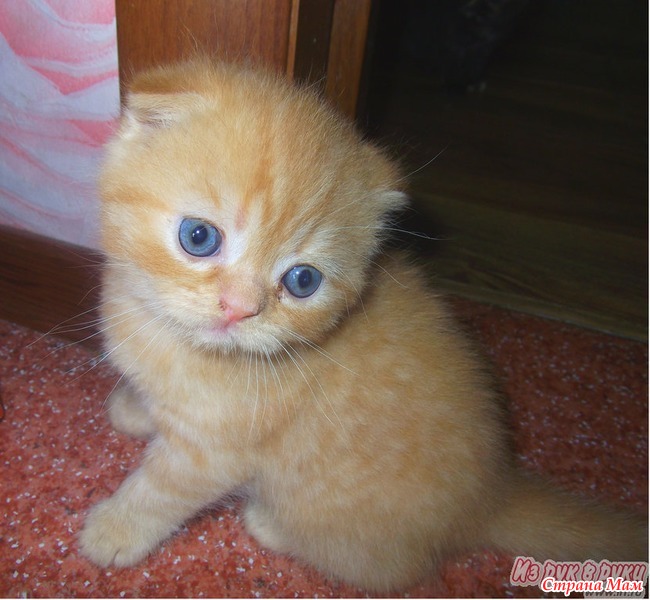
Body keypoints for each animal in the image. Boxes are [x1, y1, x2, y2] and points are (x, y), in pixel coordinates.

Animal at [79, 59, 647, 592]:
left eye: (302, 280)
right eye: (199, 237)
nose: (239, 309)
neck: (170, 342)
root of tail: (491, 498)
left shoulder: (214, 453)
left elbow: (161, 491)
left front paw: (114, 530)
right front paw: (136, 410)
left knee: (383, 569)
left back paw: (270, 525)